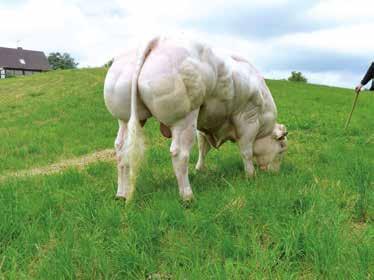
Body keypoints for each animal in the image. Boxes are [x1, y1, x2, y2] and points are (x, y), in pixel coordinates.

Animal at [103, 36, 288, 201]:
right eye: (281, 147)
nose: (275, 173)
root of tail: (157, 41)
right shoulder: (248, 119)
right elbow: (246, 151)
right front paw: (250, 175)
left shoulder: (205, 124)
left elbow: (203, 148)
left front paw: (200, 169)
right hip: (184, 119)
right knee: (179, 154)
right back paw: (187, 196)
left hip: (125, 119)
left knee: (121, 150)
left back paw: (121, 194)